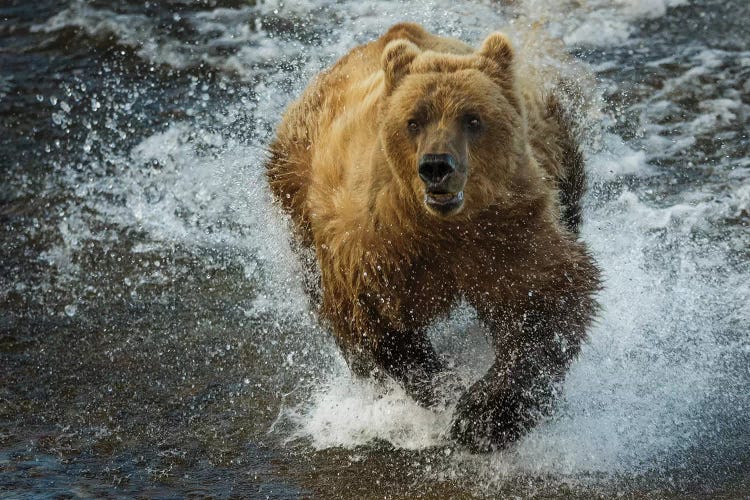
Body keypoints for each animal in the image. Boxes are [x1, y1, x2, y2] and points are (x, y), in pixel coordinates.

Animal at [268, 23, 604, 452]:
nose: (436, 166)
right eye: (414, 121)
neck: (442, 227)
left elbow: (546, 299)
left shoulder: (508, 228)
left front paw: (484, 417)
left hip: (552, 143)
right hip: (295, 186)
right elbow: (373, 320)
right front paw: (445, 388)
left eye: (472, 119)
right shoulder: (377, 246)